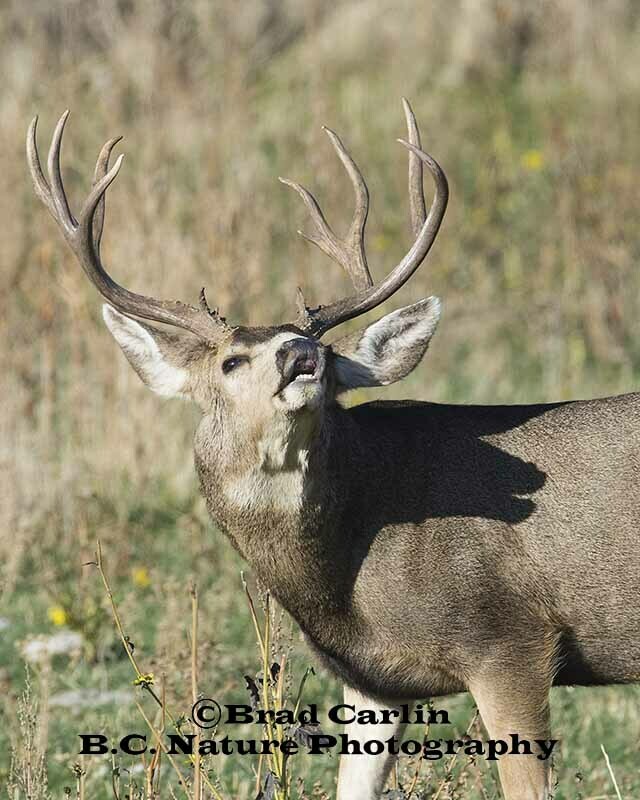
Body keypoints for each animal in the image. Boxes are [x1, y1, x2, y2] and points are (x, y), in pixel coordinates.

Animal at [27, 100, 640, 800]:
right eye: (232, 360)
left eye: (321, 349)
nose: (302, 353)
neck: (345, 583)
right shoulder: (372, 678)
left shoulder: (509, 640)